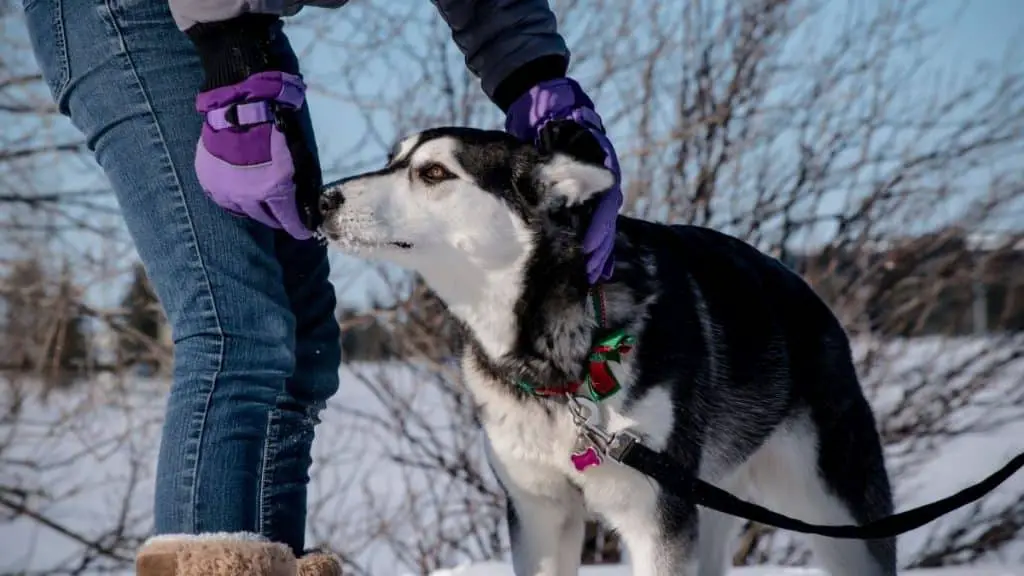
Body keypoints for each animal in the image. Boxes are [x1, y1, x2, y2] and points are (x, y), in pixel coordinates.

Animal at [317, 121, 897, 573]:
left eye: (434, 173)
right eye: (392, 160)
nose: (321, 199)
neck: (558, 349)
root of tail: (806, 292)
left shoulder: (656, 519)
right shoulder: (539, 514)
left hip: (836, 512)